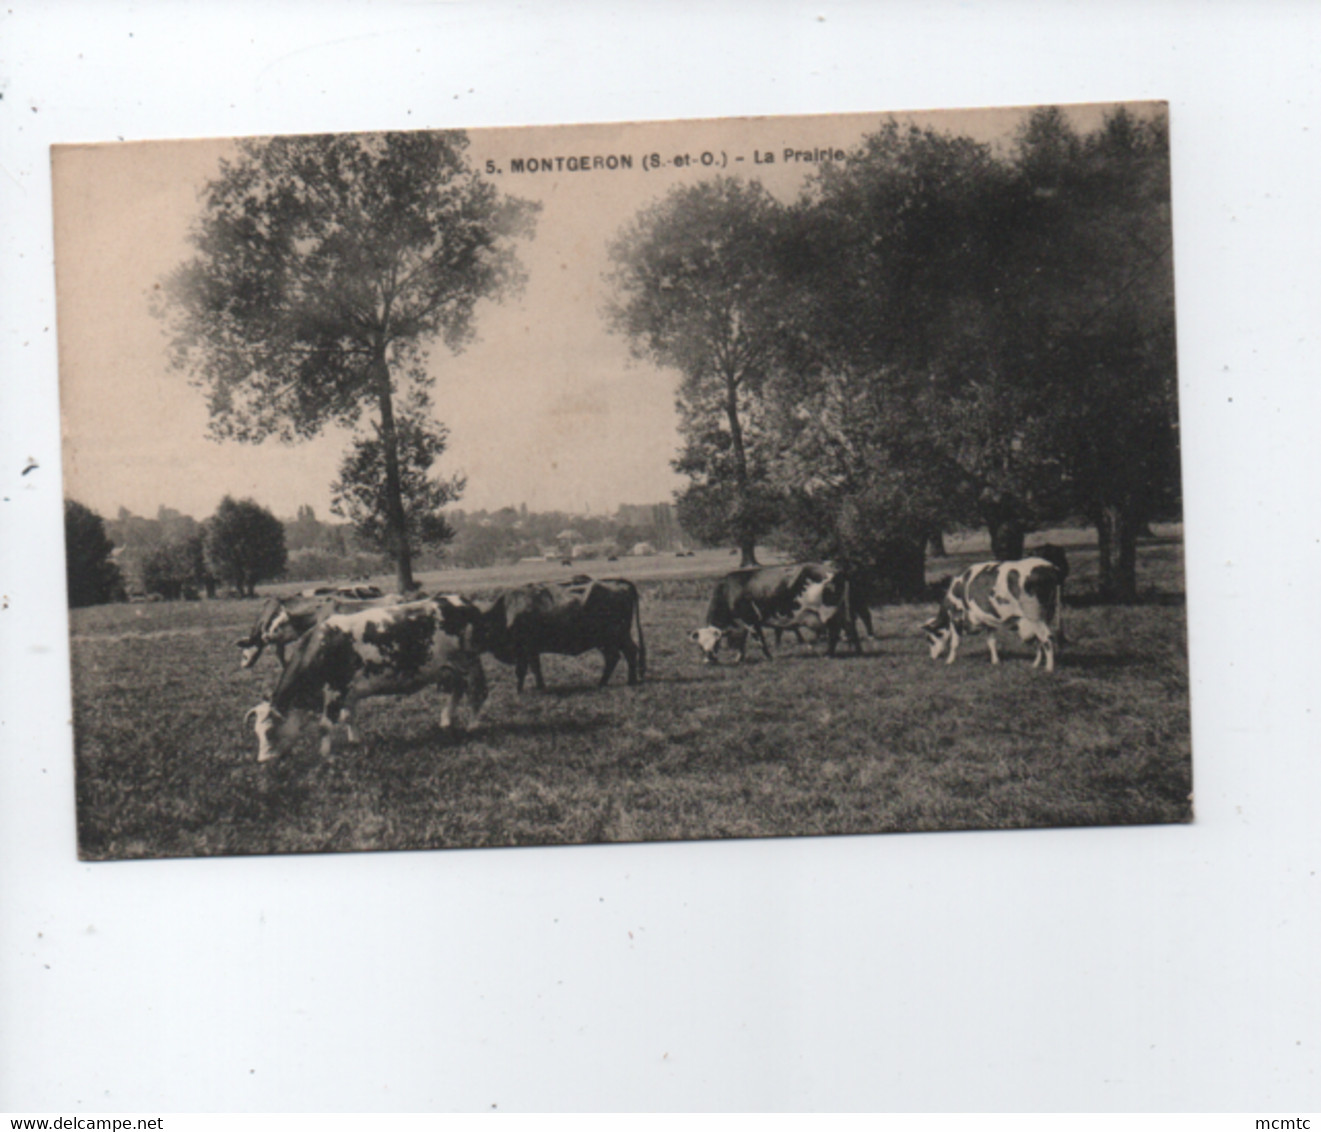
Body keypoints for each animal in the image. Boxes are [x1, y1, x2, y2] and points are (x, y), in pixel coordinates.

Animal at [243, 599, 486, 760]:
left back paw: (473, 726)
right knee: (457, 690)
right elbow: (349, 716)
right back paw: (446, 721)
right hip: (450, 668)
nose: (263, 761)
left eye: (270, 731)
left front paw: (325, 755)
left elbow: (325, 725)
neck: (323, 646)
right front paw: (355, 740)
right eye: (255, 732)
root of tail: (459, 601)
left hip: (470, 662)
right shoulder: (349, 691)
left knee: (477, 692)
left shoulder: (336, 689)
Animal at [686, 562, 861, 663]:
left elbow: (759, 640)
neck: (728, 590)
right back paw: (856, 651)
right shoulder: (742, 624)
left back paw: (828, 654)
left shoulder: (750, 619)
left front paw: (768, 657)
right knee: (850, 629)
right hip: (842, 612)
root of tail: (835, 569)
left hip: (827, 613)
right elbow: (742, 642)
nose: (709, 660)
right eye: (700, 646)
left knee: (834, 633)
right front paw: (739, 658)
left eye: (716, 644)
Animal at [924, 557, 1067, 671]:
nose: (932, 657)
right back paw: (1035, 664)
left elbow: (955, 642)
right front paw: (995, 661)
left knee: (1047, 638)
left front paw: (949, 661)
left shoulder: (956, 617)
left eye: (930, 639)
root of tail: (1051, 567)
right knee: (1040, 640)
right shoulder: (988, 620)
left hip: (1034, 617)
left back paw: (1049, 668)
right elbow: (991, 642)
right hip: (1046, 615)